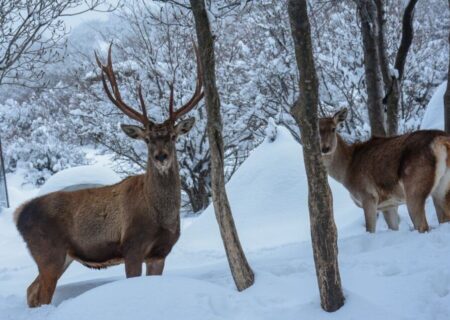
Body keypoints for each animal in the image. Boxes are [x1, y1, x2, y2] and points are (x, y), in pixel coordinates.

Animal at [14, 45, 204, 308]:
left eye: (173, 137)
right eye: (147, 139)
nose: (161, 156)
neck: (160, 216)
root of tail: (18, 214)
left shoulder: (159, 253)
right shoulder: (132, 247)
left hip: (61, 256)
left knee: (31, 290)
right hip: (48, 251)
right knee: (41, 295)